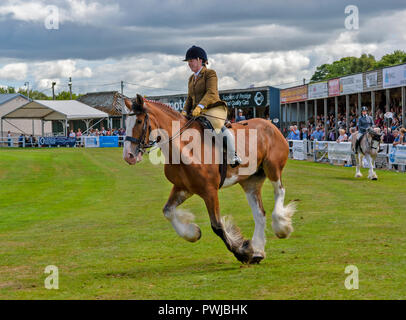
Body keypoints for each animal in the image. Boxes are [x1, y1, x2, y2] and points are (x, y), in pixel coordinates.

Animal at [121, 94, 294, 264]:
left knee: (279, 191)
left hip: (273, 168)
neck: (184, 146)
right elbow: (168, 211)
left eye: (139, 121)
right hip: (250, 180)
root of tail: (270, 125)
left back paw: (280, 227)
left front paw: (242, 253)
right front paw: (193, 232)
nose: (129, 156)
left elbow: (217, 226)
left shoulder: (209, 191)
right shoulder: (183, 188)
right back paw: (258, 251)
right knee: (259, 214)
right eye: (126, 123)